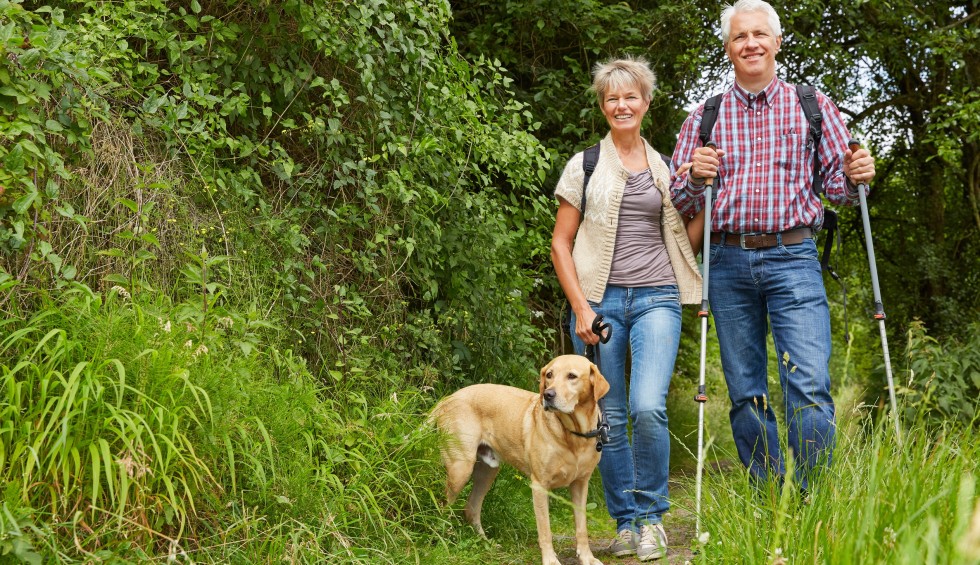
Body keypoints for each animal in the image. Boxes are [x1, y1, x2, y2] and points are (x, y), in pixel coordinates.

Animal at [432, 354, 608, 560]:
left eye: (572, 376)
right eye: (549, 375)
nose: (548, 395)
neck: (574, 434)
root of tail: (448, 398)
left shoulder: (580, 484)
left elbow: (581, 527)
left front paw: (587, 557)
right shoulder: (539, 485)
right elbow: (545, 529)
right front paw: (550, 560)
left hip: (487, 472)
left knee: (471, 508)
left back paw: (486, 544)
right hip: (460, 469)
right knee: (444, 506)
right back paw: (447, 538)